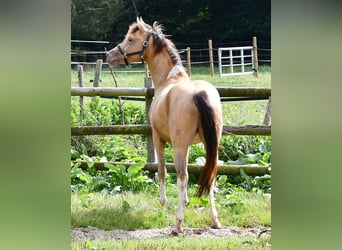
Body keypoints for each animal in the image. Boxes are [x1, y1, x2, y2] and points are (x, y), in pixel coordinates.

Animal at [107, 17, 224, 234]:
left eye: (130, 39)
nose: (109, 55)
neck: (169, 80)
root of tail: (199, 94)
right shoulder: (188, 146)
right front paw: (185, 202)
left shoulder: (158, 138)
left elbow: (161, 171)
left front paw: (163, 203)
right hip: (210, 145)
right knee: (210, 174)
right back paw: (214, 220)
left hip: (178, 146)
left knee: (181, 177)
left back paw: (178, 224)